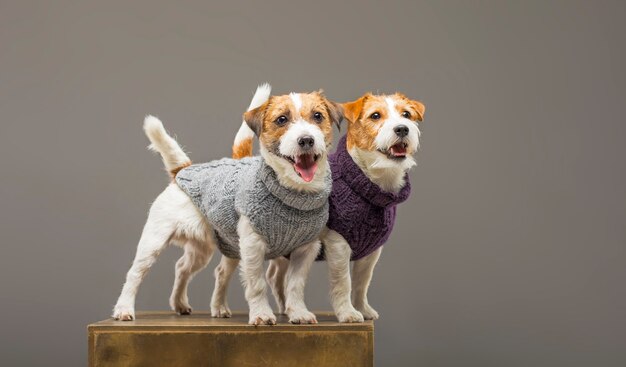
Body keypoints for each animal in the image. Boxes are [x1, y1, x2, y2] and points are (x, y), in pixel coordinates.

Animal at [114, 86, 344, 324]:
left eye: (318, 116)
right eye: (282, 119)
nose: (306, 140)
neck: (292, 193)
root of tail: (183, 170)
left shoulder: (305, 250)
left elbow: (295, 285)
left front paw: (298, 312)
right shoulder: (252, 246)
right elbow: (257, 284)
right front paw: (261, 314)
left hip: (210, 248)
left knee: (189, 268)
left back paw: (189, 304)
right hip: (154, 241)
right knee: (136, 273)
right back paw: (124, 309)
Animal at [214, 85, 424, 322]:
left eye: (407, 114)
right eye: (375, 116)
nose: (402, 129)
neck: (367, 182)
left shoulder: (371, 252)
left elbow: (362, 283)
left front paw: (362, 308)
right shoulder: (338, 245)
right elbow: (344, 282)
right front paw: (348, 312)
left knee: (275, 276)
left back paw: (287, 308)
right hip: (237, 245)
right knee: (223, 272)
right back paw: (220, 307)